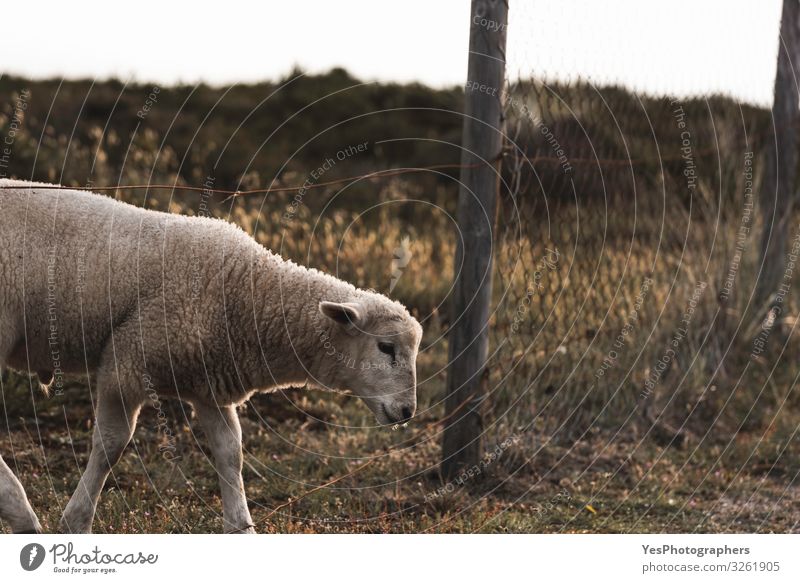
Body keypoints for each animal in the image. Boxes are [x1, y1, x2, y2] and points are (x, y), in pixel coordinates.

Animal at [0, 180, 424, 536]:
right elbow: (111, 447)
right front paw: (76, 522)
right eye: (386, 347)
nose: (407, 411)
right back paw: (21, 512)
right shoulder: (128, 363)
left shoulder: (210, 385)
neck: (245, 292)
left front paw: (241, 528)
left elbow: (230, 453)